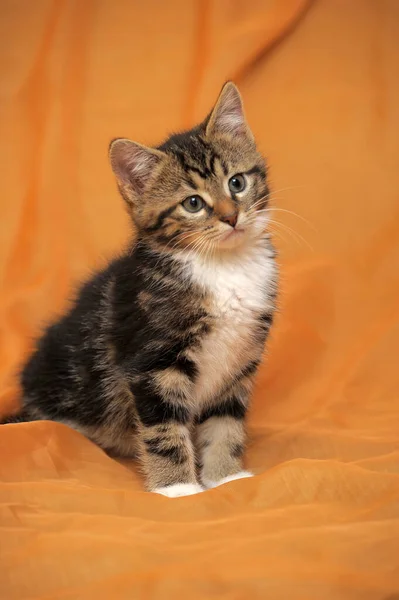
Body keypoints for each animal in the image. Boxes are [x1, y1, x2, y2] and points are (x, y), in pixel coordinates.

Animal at [2, 83, 278, 496]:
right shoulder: (152, 360)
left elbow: (225, 421)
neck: (223, 266)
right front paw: (178, 487)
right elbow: (163, 426)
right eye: (193, 204)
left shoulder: (240, 360)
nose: (231, 217)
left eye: (237, 183)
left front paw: (225, 476)